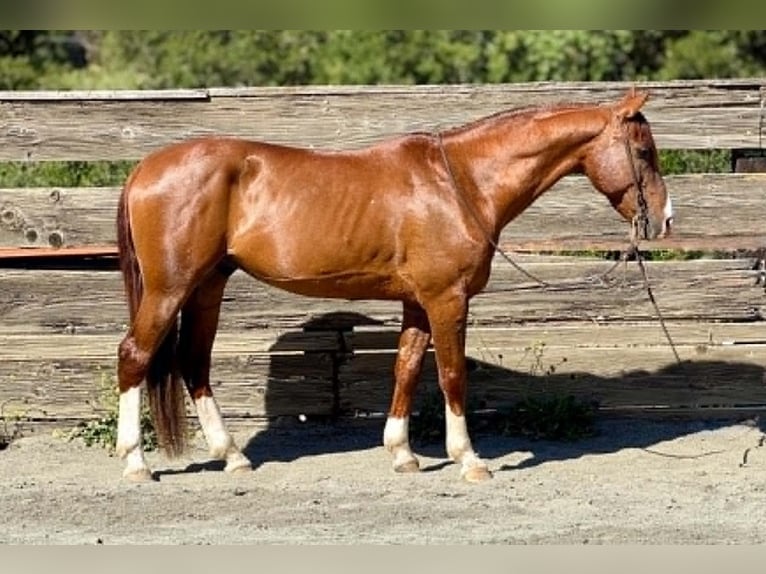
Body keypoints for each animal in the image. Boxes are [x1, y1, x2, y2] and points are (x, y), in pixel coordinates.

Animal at [115, 89, 673, 483]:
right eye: (644, 151)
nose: (664, 220)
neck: (461, 183)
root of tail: (143, 168)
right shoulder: (447, 300)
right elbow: (451, 376)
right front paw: (468, 459)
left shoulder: (418, 303)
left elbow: (406, 369)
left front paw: (403, 454)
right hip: (169, 290)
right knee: (135, 356)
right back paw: (136, 463)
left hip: (207, 286)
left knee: (194, 363)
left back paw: (231, 456)